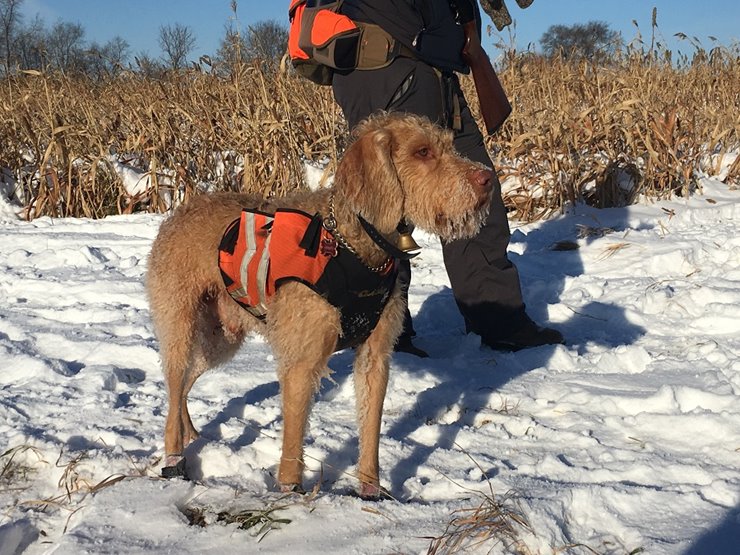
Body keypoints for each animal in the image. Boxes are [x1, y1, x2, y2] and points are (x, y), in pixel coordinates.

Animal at [146, 113, 492, 500]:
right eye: (422, 151)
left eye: (449, 145)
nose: (487, 179)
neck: (355, 248)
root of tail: (177, 213)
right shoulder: (302, 359)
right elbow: (294, 435)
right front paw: (290, 490)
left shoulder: (375, 357)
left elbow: (370, 430)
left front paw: (371, 490)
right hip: (180, 328)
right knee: (175, 383)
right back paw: (174, 456)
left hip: (221, 340)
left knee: (183, 387)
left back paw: (189, 432)